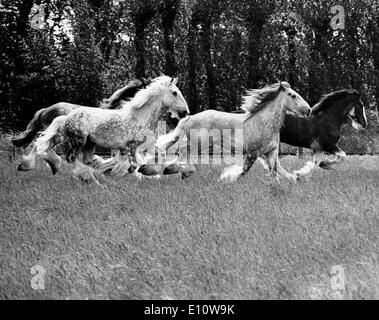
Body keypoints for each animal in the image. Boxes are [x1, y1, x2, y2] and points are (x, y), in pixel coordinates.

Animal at [154, 82, 312, 182]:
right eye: (292, 95)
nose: (309, 110)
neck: (265, 123)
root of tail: (190, 117)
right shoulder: (253, 153)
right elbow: (243, 172)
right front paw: (226, 178)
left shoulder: (270, 153)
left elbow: (277, 171)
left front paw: (295, 178)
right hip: (198, 144)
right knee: (182, 153)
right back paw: (179, 171)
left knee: (180, 152)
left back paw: (170, 169)